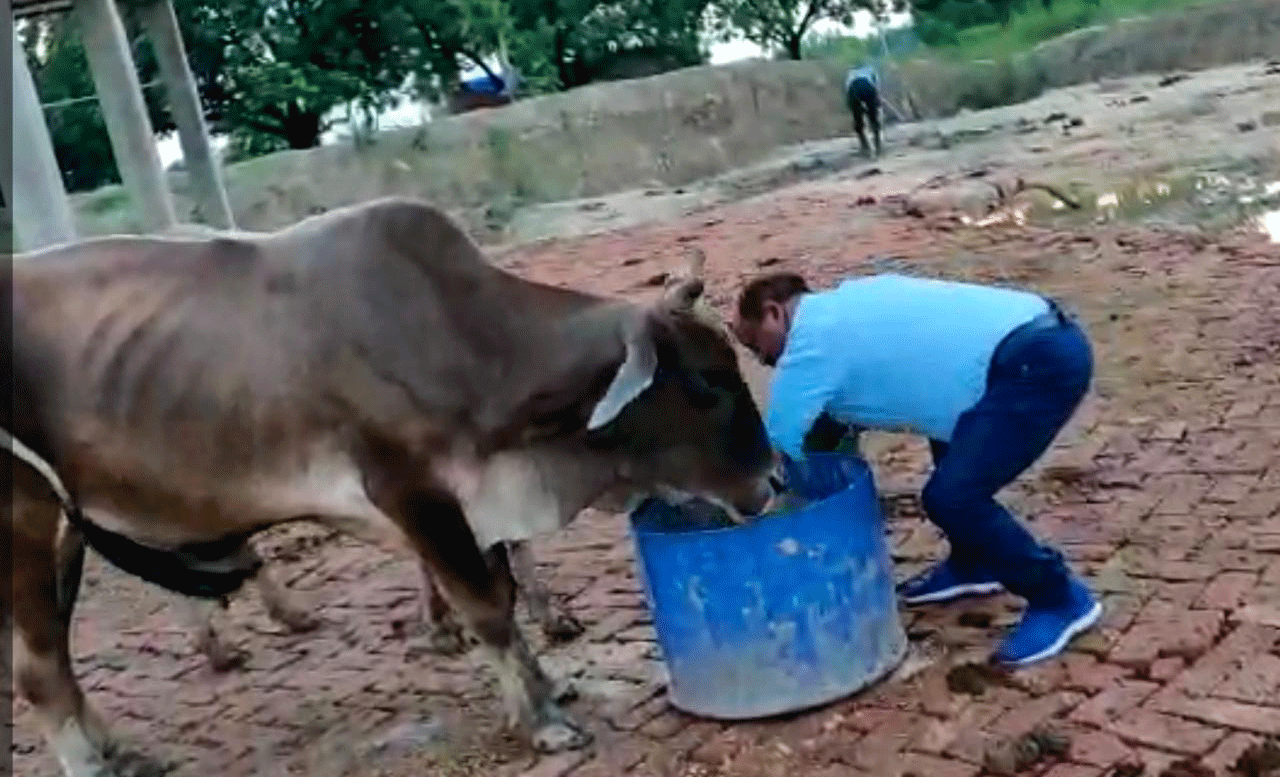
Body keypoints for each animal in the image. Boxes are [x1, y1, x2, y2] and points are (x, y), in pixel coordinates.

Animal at [3, 196, 777, 777]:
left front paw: (547, 684)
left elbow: (505, 598)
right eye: (707, 381)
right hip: (26, 520)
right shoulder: (415, 495)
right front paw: (544, 722)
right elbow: (487, 608)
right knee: (39, 673)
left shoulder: (476, 506)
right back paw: (94, 763)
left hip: (68, 532)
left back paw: (122, 749)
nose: (771, 480)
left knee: (59, 661)